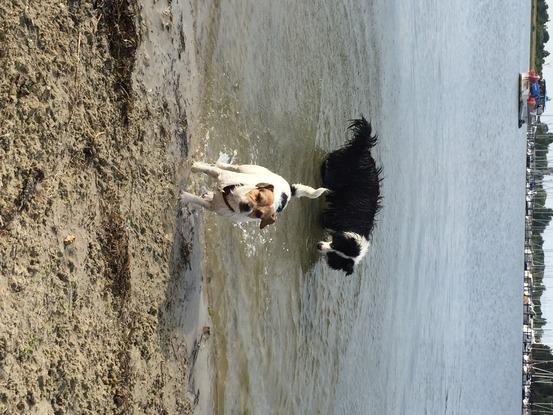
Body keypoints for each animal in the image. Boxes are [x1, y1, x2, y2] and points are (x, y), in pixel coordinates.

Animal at [181, 161, 328, 229]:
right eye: (258, 197)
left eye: (259, 214)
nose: (246, 207)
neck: (231, 199)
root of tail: (289, 191)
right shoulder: (221, 175)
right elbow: (209, 170)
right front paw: (195, 167)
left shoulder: (213, 207)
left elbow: (197, 200)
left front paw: (184, 196)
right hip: (248, 169)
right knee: (233, 167)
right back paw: (221, 163)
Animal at [316, 117, 382, 276]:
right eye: (334, 245)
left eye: (333, 255)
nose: (319, 246)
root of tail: (363, 149)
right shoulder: (331, 218)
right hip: (339, 171)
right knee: (329, 164)